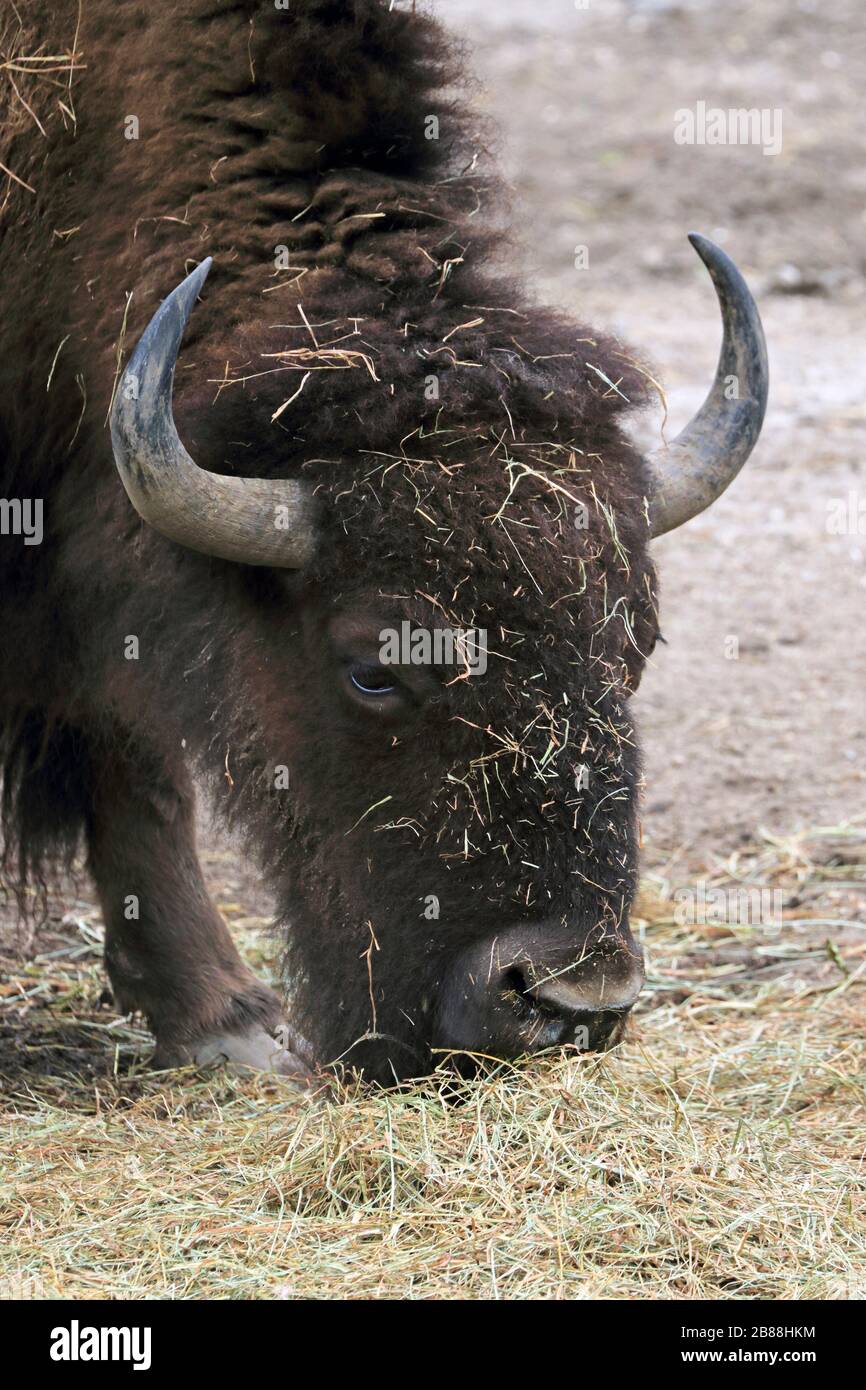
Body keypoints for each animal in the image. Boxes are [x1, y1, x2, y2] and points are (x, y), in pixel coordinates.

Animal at [0, 0, 767, 1078]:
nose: (568, 1000)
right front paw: (230, 1020)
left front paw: (222, 1022)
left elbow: (138, 751)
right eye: (372, 669)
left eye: (638, 644)